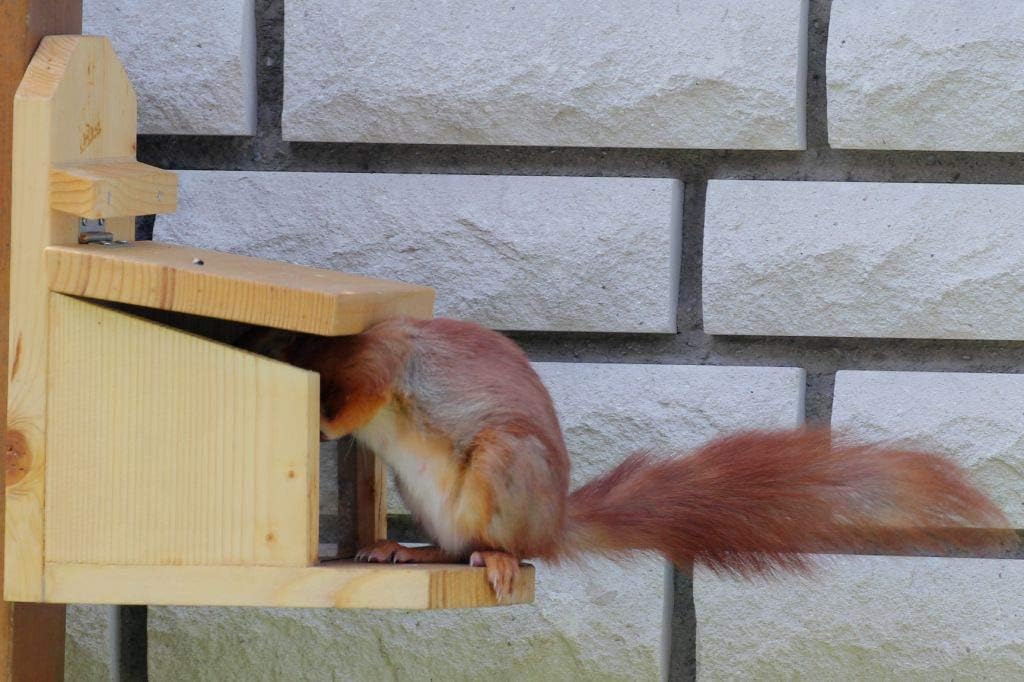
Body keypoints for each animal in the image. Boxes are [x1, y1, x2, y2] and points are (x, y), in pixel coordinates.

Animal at [247, 317, 1016, 601]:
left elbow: (361, 397)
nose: (258, 353)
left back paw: (498, 558)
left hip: (505, 467)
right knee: (451, 548)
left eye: (269, 337)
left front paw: (320, 421)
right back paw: (401, 549)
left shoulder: (378, 358)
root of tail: (552, 523)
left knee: (499, 547)